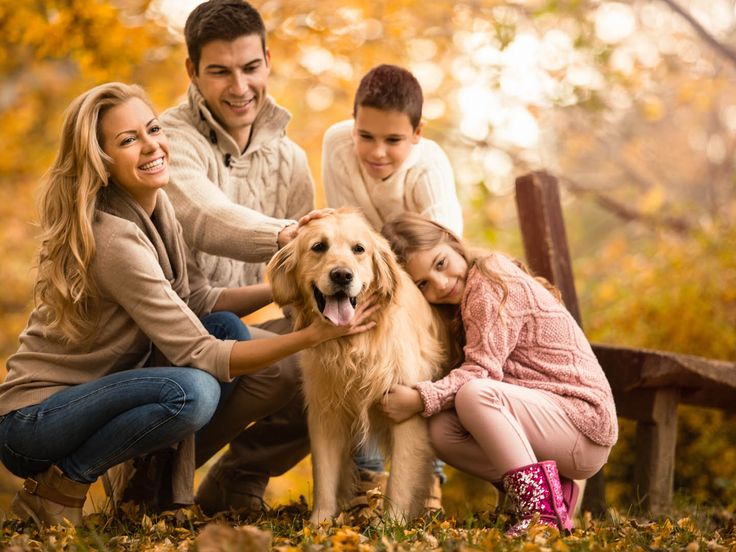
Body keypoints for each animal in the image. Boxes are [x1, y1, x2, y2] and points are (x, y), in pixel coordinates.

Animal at [268, 207, 446, 520]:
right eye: (318, 247)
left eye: (359, 249)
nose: (342, 275)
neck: (354, 345)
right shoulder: (325, 412)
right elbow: (325, 475)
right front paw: (319, 523)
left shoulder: (407, 411)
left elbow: (400, 480)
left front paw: (392, 523)